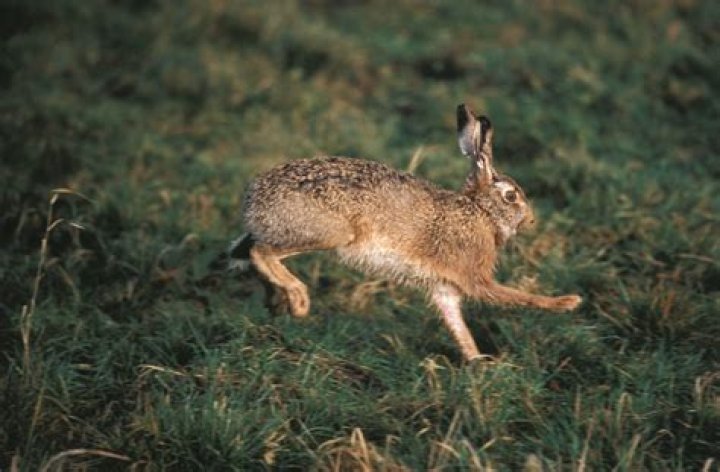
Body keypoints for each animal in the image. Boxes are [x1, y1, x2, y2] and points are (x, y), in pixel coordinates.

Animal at [223, 104, 582, 362]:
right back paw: (298, 301)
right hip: (328, 233)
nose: (531, 221)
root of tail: (252, 199)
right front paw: (567, 303)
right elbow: (513, 296)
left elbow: (456, 323)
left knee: (247, 252)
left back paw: (275, 302)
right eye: (511, 196)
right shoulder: (474, 277)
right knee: (261, 252)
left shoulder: (445, 287)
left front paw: (478, 363)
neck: (480, 212)